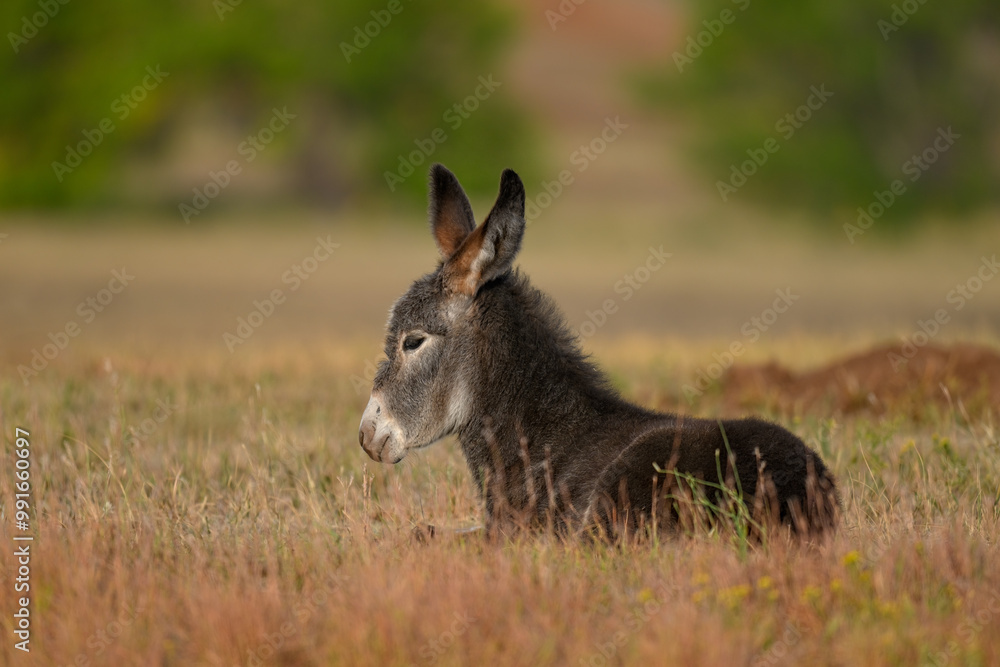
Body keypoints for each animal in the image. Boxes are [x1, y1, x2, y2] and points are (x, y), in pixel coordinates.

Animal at [360, 164, 836, 540]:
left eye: (413, 341)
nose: (367, 435)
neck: (543, 442)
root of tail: (797, 496)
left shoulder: (517, 534)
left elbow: (422, 533)